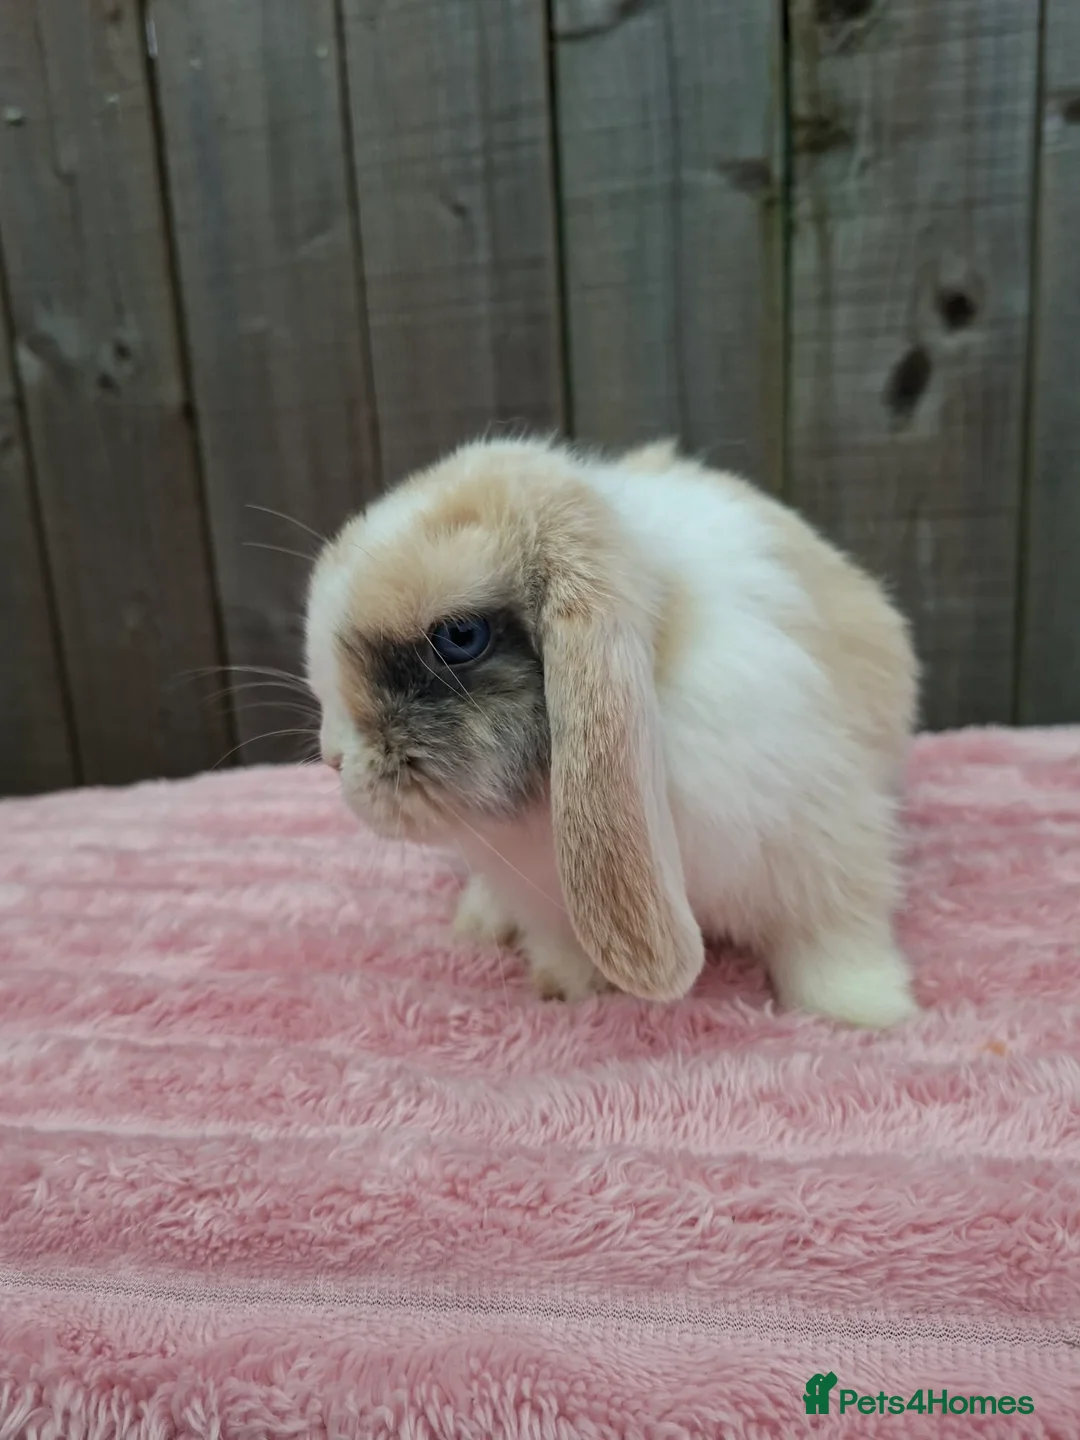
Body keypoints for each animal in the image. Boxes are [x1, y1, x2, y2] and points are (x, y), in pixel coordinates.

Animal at [305, 435, 920, 1027]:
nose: (333, 757)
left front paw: (863, 1011)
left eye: (460, 636)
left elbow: (834, 936)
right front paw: (565, 986)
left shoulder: (823, 843)